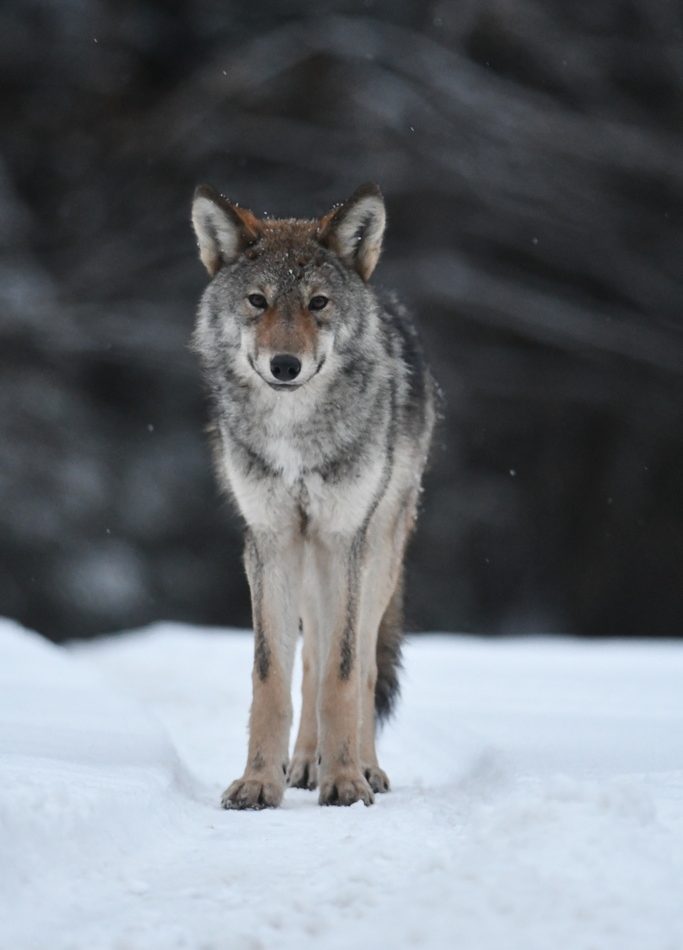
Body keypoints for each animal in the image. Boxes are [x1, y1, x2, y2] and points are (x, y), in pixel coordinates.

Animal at [191, 182, 435, 808]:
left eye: (318, 303)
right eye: (257, 301)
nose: (285, 365)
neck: (294, 434)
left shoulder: (343, 538)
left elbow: (344, 674)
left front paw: (346, 780)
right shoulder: (270, 541)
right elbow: (272, 676)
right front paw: (259, 781)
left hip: (373, 556)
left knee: (361, 663)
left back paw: (364, 768)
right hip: (306, 563)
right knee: (309, 659)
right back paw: (303, 764)